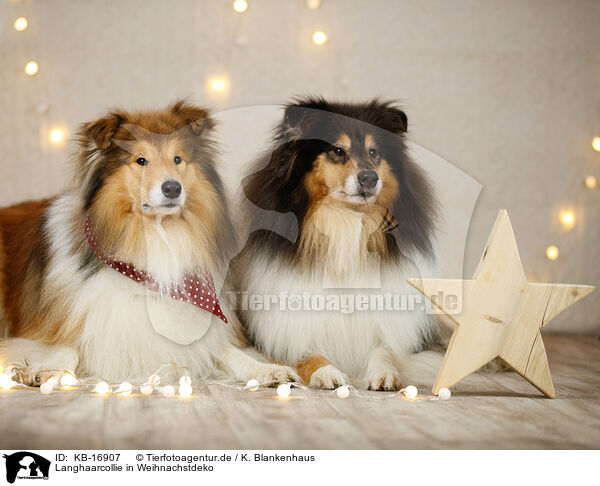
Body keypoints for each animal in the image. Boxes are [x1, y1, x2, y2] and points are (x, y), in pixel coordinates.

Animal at [236, 98, 440, 392]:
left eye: (374, 151)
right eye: (338, 150)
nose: (370, 178)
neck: (345, 221)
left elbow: (384, 349)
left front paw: (384, 374)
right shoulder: (281, 328)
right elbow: (306, 353)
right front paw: (327, 372)